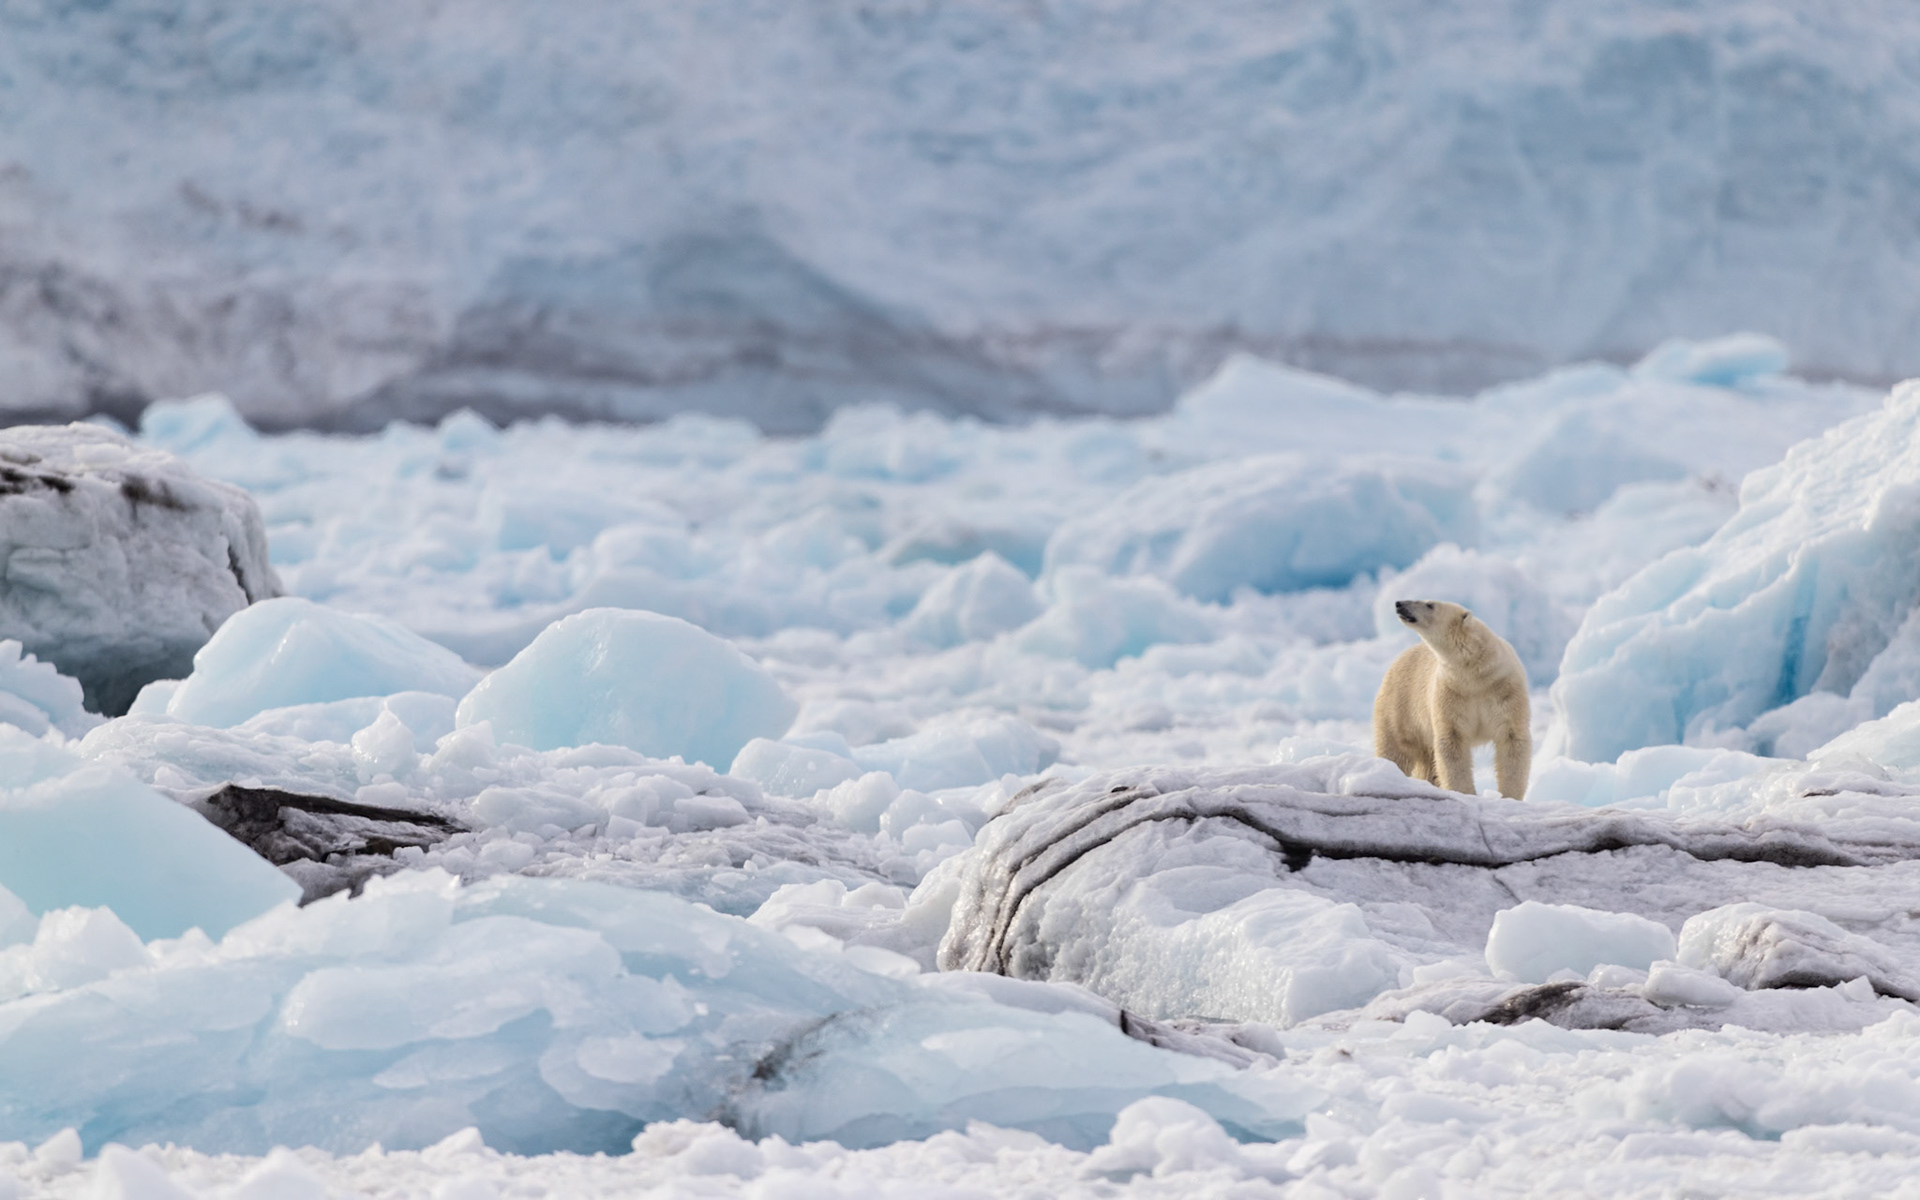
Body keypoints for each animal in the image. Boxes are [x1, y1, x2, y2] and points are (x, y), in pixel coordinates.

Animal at [1372, 598, 1531, 800]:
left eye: (1429, 604)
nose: (1399, 604)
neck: (1475, 673)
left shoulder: (1505, 689)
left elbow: (1512, 737)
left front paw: (1508, 796)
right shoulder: (1451, 692)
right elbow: (1452, 741)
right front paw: (1466, 793)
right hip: (1400, 708)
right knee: (1396, 750)